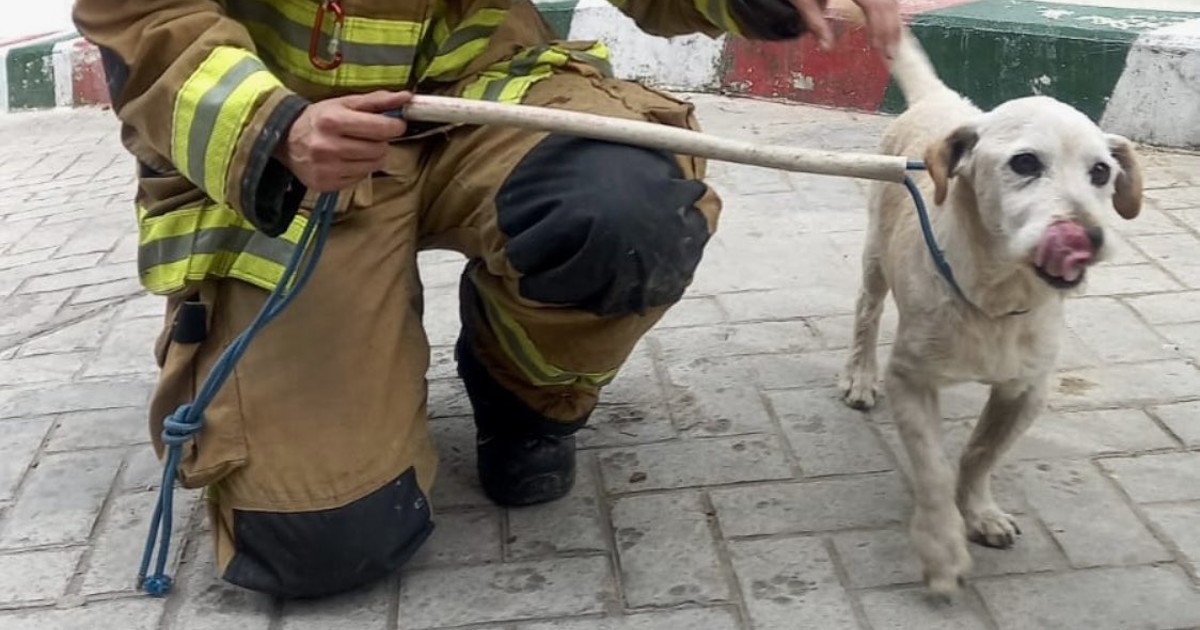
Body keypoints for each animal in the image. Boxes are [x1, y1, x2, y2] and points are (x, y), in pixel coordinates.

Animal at [835, 27, 1142, 597]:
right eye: (1025, 163)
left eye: (1101, 172)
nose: (1089, 237)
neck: (997, 298)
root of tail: (944, 101)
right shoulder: (910, 380)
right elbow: (933, 468)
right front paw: (942, 546)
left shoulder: (1026, 390)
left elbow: (981, 453)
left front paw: (978, 513)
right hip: (874, 256)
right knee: (866, 311)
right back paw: (859, 375)